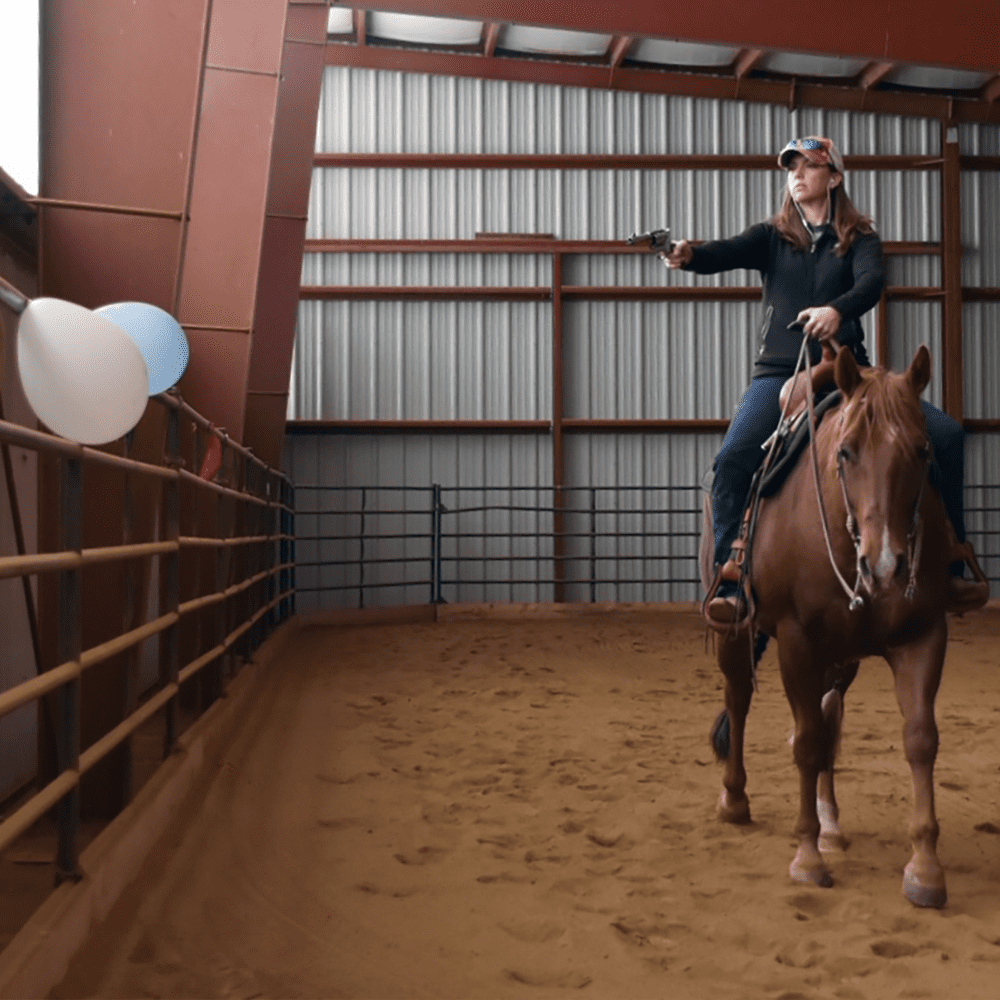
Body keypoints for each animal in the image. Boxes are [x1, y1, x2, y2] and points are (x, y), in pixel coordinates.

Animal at [708, 346, 956, 908]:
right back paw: (734, 798)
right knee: (740, 697)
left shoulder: (923, 635)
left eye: (923, 451)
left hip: (841, 658)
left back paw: (830, 824)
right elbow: (804, 742)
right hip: (735, 630)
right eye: (845, 453)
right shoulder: (797, 641)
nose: (884, 565)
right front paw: (806, 857)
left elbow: (920, 738)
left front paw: (926, 868)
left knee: (829, 717)